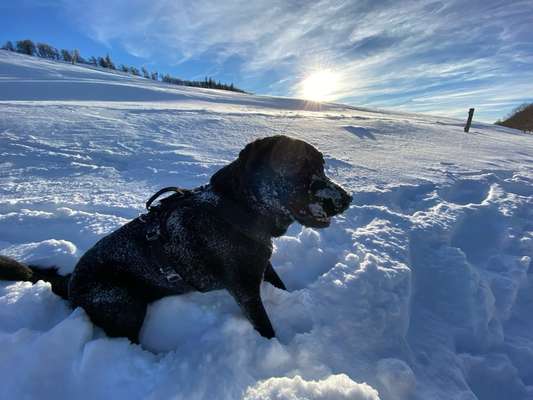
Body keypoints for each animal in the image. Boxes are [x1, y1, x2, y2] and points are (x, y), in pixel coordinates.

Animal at [0, 136, 352, 342]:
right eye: (300, 167)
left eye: (323, 166)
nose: (348, 199)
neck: (234, 209)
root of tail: (70, 282)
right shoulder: (244, 288)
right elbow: (266, 328)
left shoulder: (262, 267)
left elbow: (281, 285)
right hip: (122, 304)